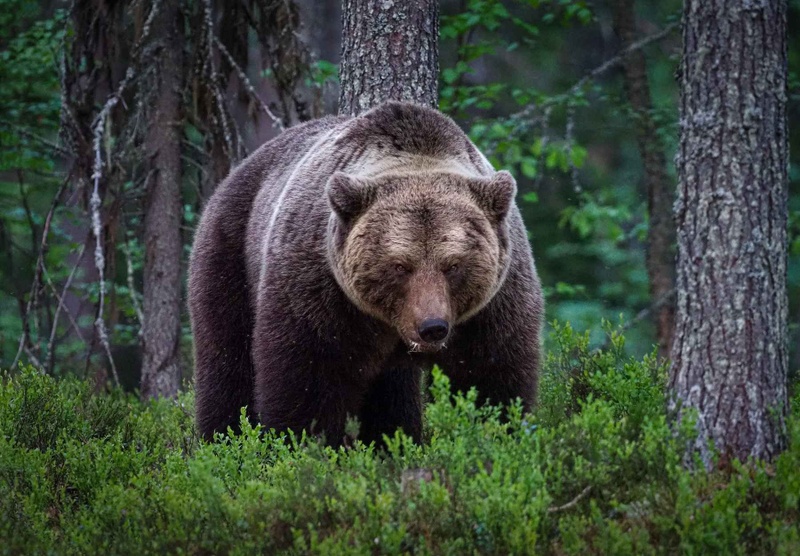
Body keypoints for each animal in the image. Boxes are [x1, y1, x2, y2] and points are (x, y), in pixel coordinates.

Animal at [188, 101, 544, 446]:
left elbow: (492, 375)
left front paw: (496, 431)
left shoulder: (494, 302)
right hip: (230, 249)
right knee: (227, 358)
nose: (432, 327)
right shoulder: (321, 288)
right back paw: (222, 439)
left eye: (453, 265)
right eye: (400, 265)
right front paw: (302, 444)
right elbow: (308, 377)